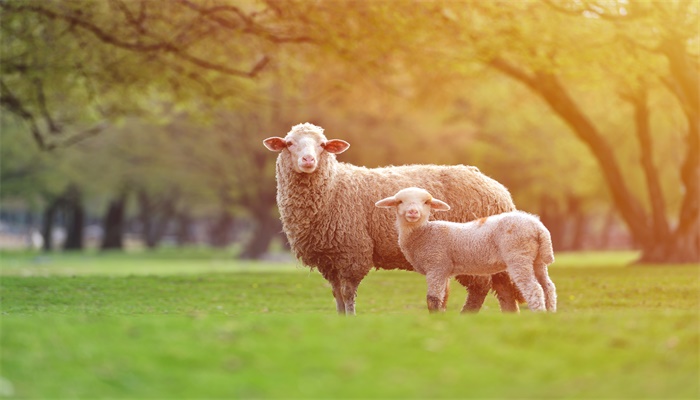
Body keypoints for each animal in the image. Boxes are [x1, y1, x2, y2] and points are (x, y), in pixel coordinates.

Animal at [266, 122, 524, 316]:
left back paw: (464, 318)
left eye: (322, 145)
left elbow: (348, 292)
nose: (308, 161)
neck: (334, 187)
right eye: (289, 144)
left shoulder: (353, 251)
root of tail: (498, 189)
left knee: (480, 289)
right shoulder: (329, 257)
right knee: (504, 290)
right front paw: (340, 319)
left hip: (468, 248)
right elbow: (337, 293)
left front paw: (351, 319)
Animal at [378, 187, 556, 312]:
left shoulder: (436, 265)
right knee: (548, 286)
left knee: (533, 288)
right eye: (399, 202)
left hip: (518, 255)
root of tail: (539, 227)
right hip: (537, 259)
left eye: (426, 202)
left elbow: (432, 299)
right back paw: (549, 314)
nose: (413, 212)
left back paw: (538, 314)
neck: (423, 233)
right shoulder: (443, 270)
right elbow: (443, 298)